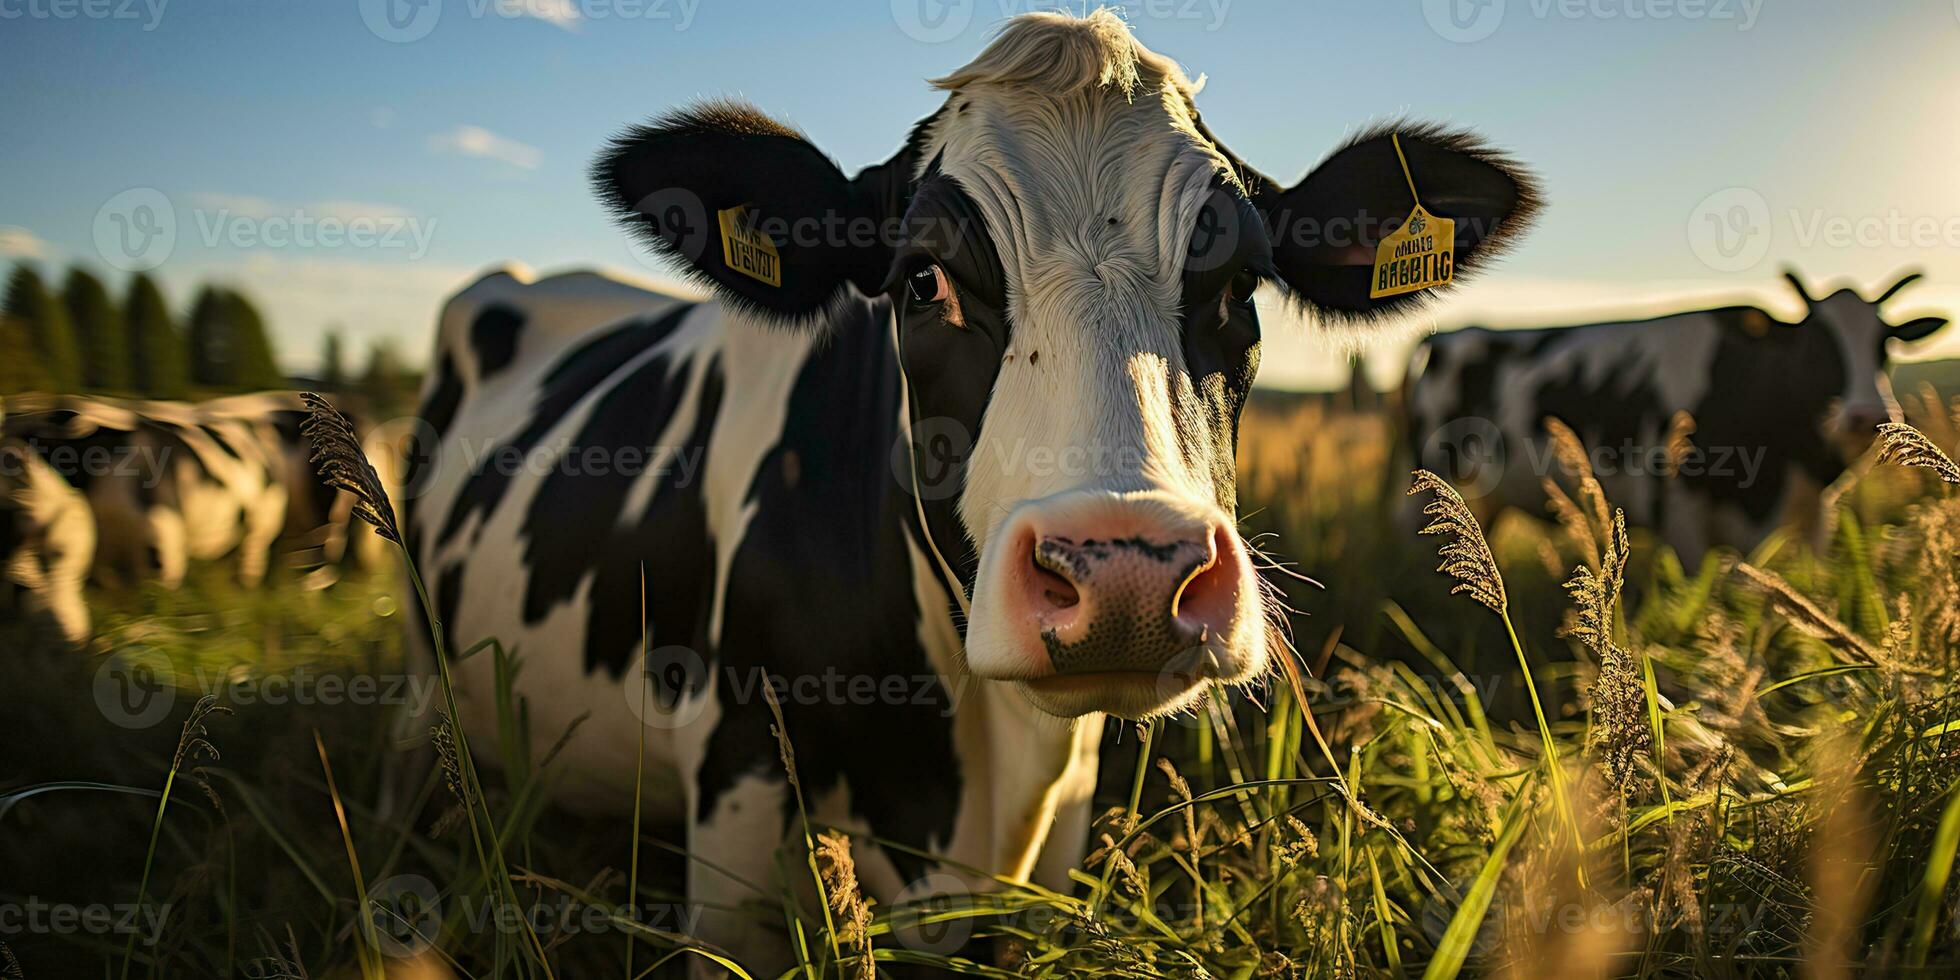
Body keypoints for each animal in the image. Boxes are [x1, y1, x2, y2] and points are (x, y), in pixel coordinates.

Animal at [1411, 268, 1944, 564]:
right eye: (1812, 346)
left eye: (1884, 345)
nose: (1866, 416)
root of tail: (1453, 333)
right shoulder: (1679, 513)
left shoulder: (1815, 515)